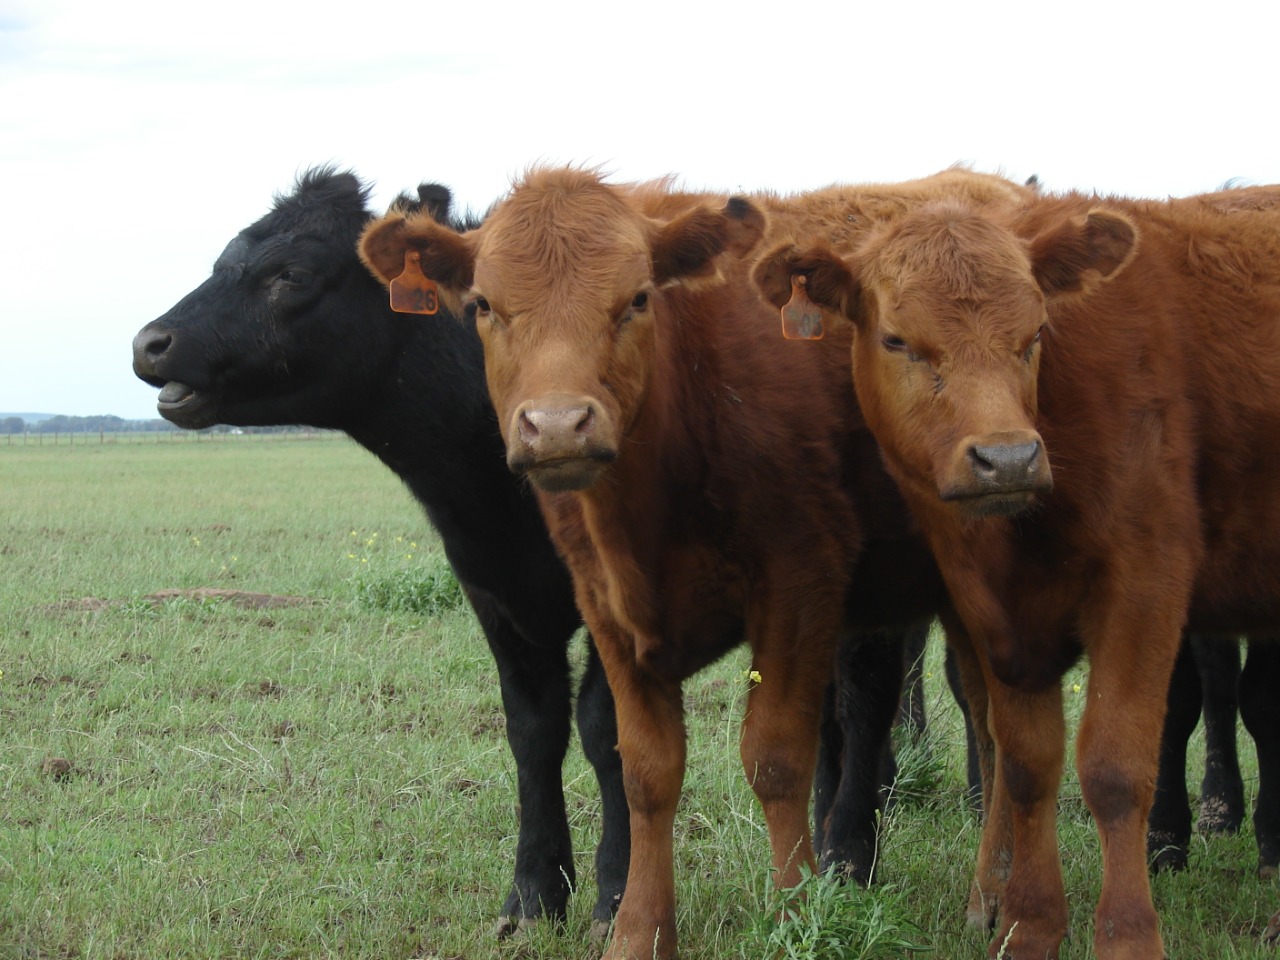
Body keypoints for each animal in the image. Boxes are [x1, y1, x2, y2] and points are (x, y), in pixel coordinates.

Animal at [752, 181, 1280, 960]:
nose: (1007, 459)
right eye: (896, 340)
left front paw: (1126, 935)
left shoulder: (1144, 586)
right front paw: (1028, 923)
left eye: (1035, 335)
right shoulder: (993, 610)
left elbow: (1115, 767)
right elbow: (1026, 762)